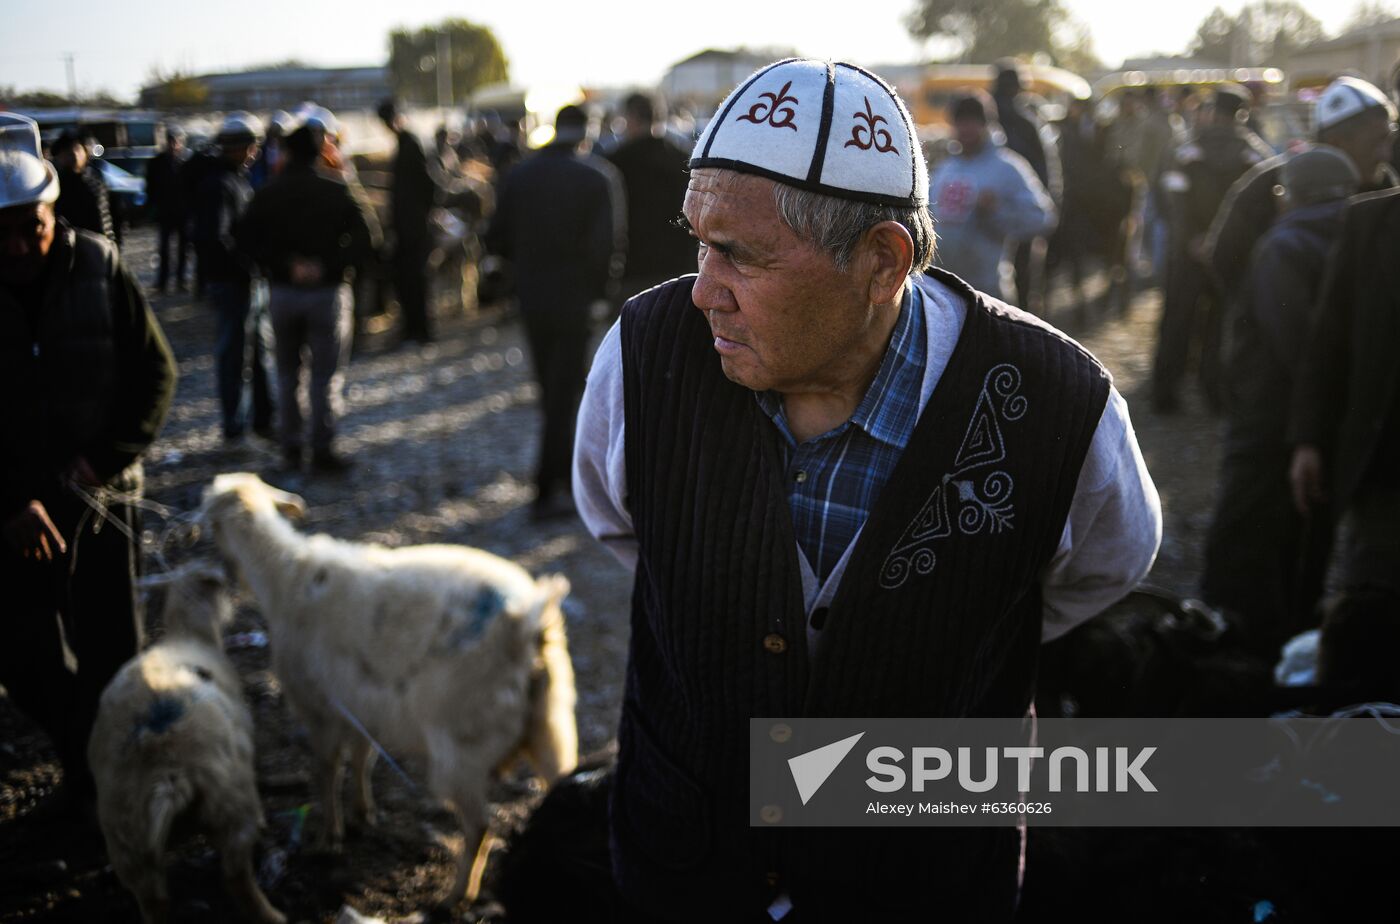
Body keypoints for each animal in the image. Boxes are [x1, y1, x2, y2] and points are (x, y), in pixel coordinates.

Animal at [86, 560, 284, 924]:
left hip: (127, 835)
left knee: (153, 902)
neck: (190, 635)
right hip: (230, 805)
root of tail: (167, 773)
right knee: (236, 878)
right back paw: (272, 915)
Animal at [200, 473, 576, 907]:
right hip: (550, 724)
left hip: (461, 746)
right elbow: (363, 758)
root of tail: (526, 622)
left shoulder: (318, 706)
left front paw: (328, 838)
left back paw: (455, 897)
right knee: (561, 784)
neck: (285, 576)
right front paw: (364, 814)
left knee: (480, 825)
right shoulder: (362, 707)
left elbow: (327, 769)